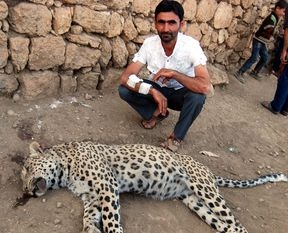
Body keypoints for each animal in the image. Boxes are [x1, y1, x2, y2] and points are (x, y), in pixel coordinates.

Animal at [19, 140, 286, 233]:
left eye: (27, 170)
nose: (27, 191)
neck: (66, 172)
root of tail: (207, 170)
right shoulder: (92, 196)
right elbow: (88, 217)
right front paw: (90, 229)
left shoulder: (107, 186)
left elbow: (110, 218)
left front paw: (113, 230)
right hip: (194, 202)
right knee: (224, 224)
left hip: (205, 189)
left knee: (236, 224)